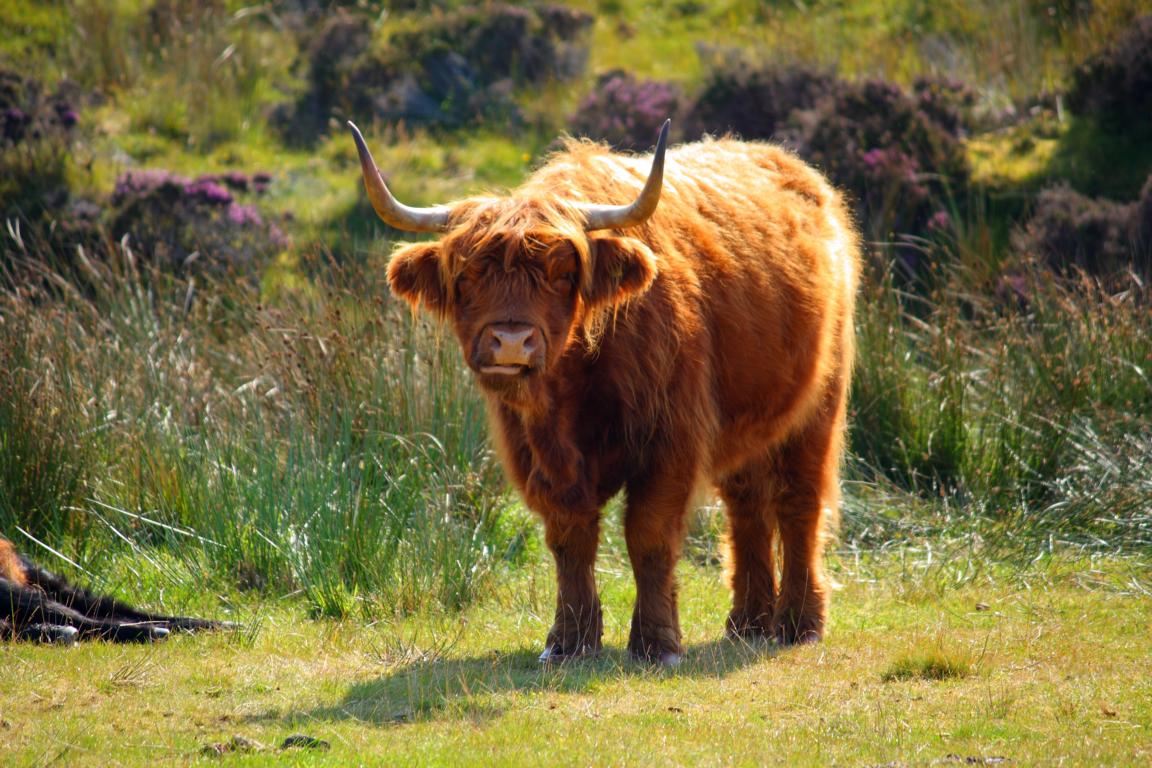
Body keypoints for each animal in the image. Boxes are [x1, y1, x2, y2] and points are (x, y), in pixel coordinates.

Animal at [354, 120, 861, 667]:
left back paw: (797, 624)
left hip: (818, 406)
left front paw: (657, 643)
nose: (511, 341)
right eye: (466, 276)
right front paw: (570, 641)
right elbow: (569, 537)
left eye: (562, 275)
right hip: (749, 419)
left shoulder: (670, 440)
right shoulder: (534, 453)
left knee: (798, 502)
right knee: (747, 506)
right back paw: (747, 623)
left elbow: (649, 533)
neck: (570, 392)